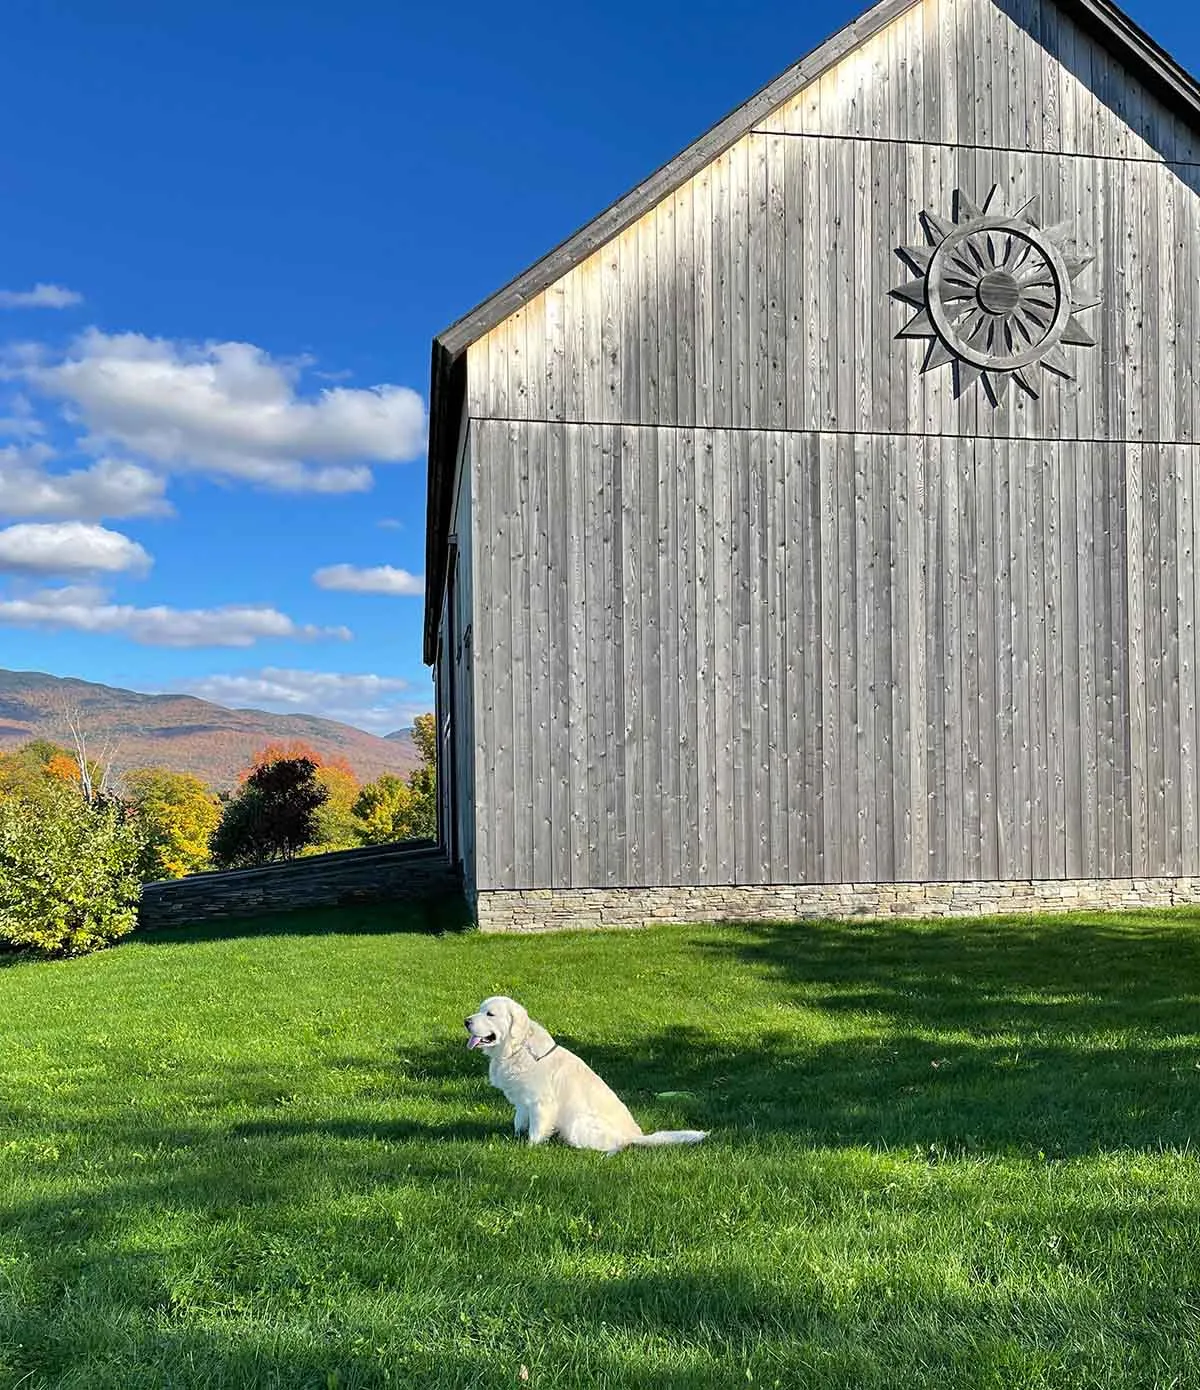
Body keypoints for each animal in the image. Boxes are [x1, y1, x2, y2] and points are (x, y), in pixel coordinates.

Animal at [464, 995, 709, 1156]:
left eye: (490, 1014)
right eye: (480, 1009)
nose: (466, 1021)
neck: (517, 1048)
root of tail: (635, 1135)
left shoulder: (541, 1103)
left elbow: (536, 1130)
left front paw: (529, 1148)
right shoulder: (523, 1102)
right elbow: (519, 1121)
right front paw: (515, 1136)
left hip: (578, 1122)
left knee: (616, 1146)